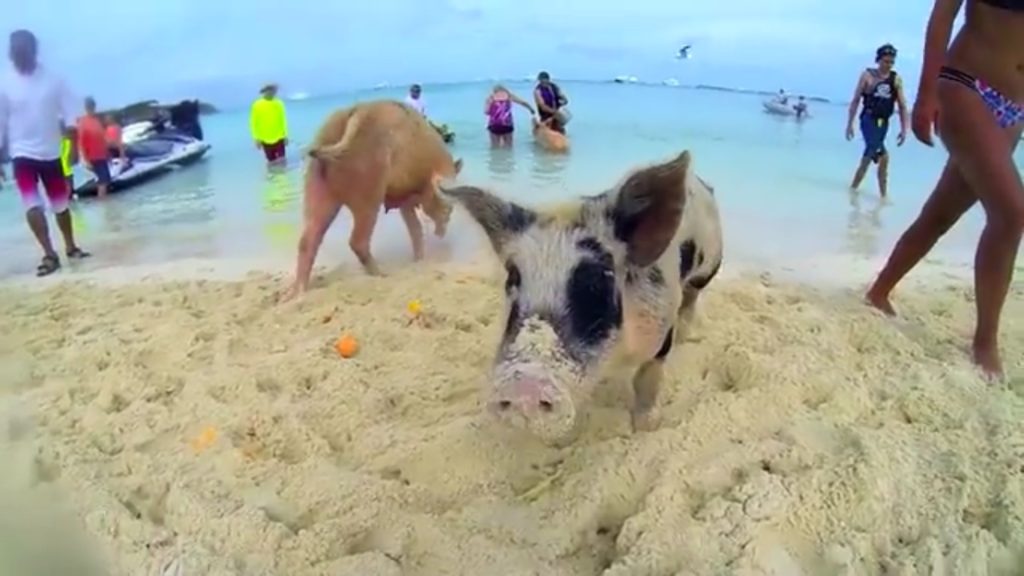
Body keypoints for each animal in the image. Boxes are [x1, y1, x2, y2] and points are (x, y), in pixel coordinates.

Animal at [282, 99, 462, 301]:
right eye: (448, 207)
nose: (442, 232)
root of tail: (352, 115)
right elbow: (415, 229)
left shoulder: (406, 200)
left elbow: (415, 230)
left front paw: (419, 260)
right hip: (369, 193)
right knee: (358, 241)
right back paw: (381, 274)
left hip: (318, 191)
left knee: (308, 240)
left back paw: (296, 294)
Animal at [444, 150, 724, 440]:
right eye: (513, 277)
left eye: (598, 278)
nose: (523, 385)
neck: (615, 358)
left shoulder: (661, 327)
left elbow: (648, 378)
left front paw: (646, 427)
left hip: (709, 266)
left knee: (692, 298)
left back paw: (685, 334)